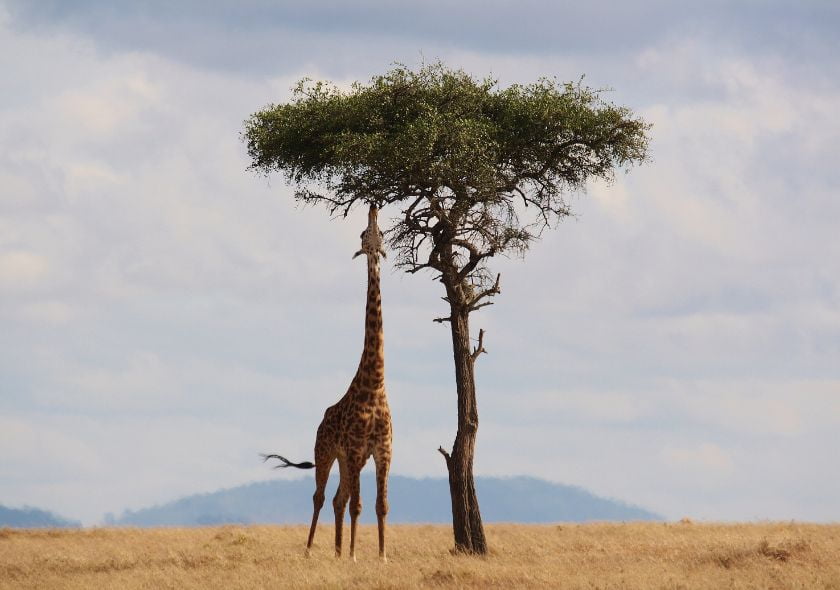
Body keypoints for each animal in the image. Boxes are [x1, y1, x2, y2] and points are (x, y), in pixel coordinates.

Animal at [263, 204, 392, 562]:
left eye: (381, 233)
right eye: (364, 234)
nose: (373, 207)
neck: (375, 385)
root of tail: (321, 420)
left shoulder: (382, 450)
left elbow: (381, 505)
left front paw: (381, 556)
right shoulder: (356, 447)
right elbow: (359, 505)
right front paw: (355, 555)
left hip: (348, 460)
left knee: (338, 499)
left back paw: (336, 552)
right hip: (326, 452)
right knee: (321, 497)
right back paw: (311, 550)